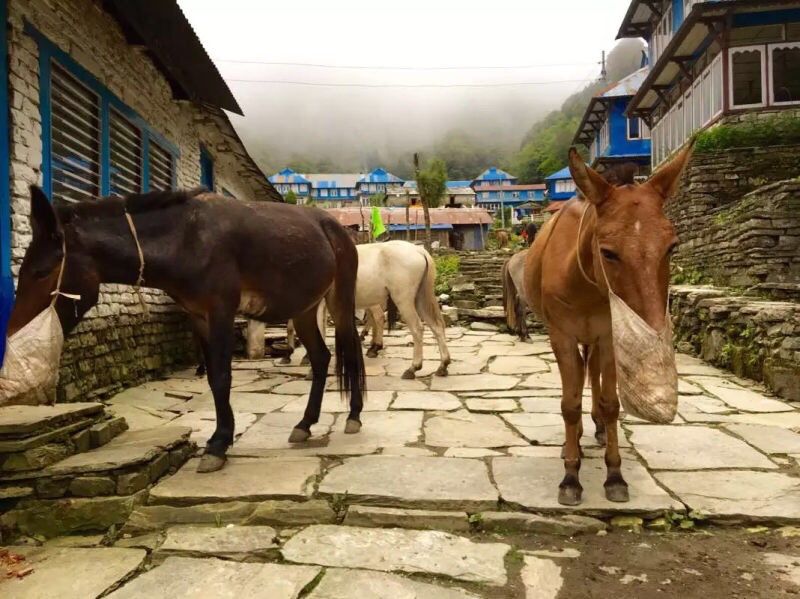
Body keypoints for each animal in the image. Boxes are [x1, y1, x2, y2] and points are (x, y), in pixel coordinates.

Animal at [10, 188, 366, 474]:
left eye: (40, 273)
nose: (12, 333)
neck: (184, 240)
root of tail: (336, 228)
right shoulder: (199, 317)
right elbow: (211, 377)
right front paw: (219, 439)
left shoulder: (221, 311)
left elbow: (221, 376)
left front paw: (218, 445)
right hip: (304, 308)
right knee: (321, 358)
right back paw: (305, 424)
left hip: (339, 299)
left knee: (350, 350)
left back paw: (354, 415)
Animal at [288, 241, 450, 378]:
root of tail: (419, 250)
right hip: (420, 299)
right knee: (436, 326)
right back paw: (443, 365)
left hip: (404, 301)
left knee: (416, 328)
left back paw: (412, 368)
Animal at [524, 145, 692, 506]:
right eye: (608, 252)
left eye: (672, 247)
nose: (653, 327)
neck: (585, 281)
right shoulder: (561, 335)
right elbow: (569, 403)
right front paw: (570, 477)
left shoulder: (612, 332)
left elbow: (612, 403)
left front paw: (614, 474)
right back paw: (572, 441)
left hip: (599, 340)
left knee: (596, 378)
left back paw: (599, 428)